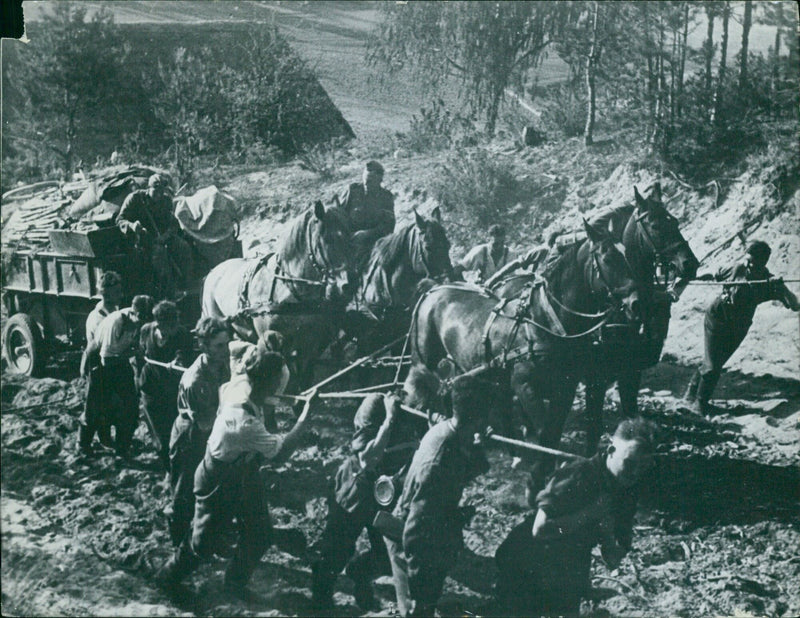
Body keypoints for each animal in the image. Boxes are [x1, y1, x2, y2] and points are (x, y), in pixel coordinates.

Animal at [202, 200, 352, 388]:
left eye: (351, 237)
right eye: (328, 240)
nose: (348, 284)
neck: (289, 288)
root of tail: (213, 272)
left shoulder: (309, 344)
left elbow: (304, 377)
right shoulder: (276, 343)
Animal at [410, 220, 640, 496]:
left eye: (628, 254)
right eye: (607, 257)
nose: (636, 302)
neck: (545, 320)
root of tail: (434, 289)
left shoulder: (566, 387)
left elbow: (553, 431)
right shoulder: (524, 385)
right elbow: (543, 432)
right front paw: (539, 475)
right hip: (426, 359)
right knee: (425, 394)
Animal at [490, 180, 696, 450]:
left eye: (675, 221)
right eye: (656, 225)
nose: (690, 263)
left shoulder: (630, 371)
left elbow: (630, 416)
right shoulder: (594, 377)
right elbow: (594, 427)